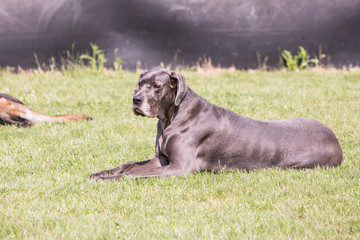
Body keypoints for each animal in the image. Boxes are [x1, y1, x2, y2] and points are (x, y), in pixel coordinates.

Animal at [89, 66, 340, 179]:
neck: (171, 117)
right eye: (139, 84)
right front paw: (102, 173)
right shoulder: (161, 160)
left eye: (156, 86)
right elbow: (128, 165)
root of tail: (337, 142)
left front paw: (110, 179)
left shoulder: (179, 168)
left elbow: (132, 173)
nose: (136, 100)